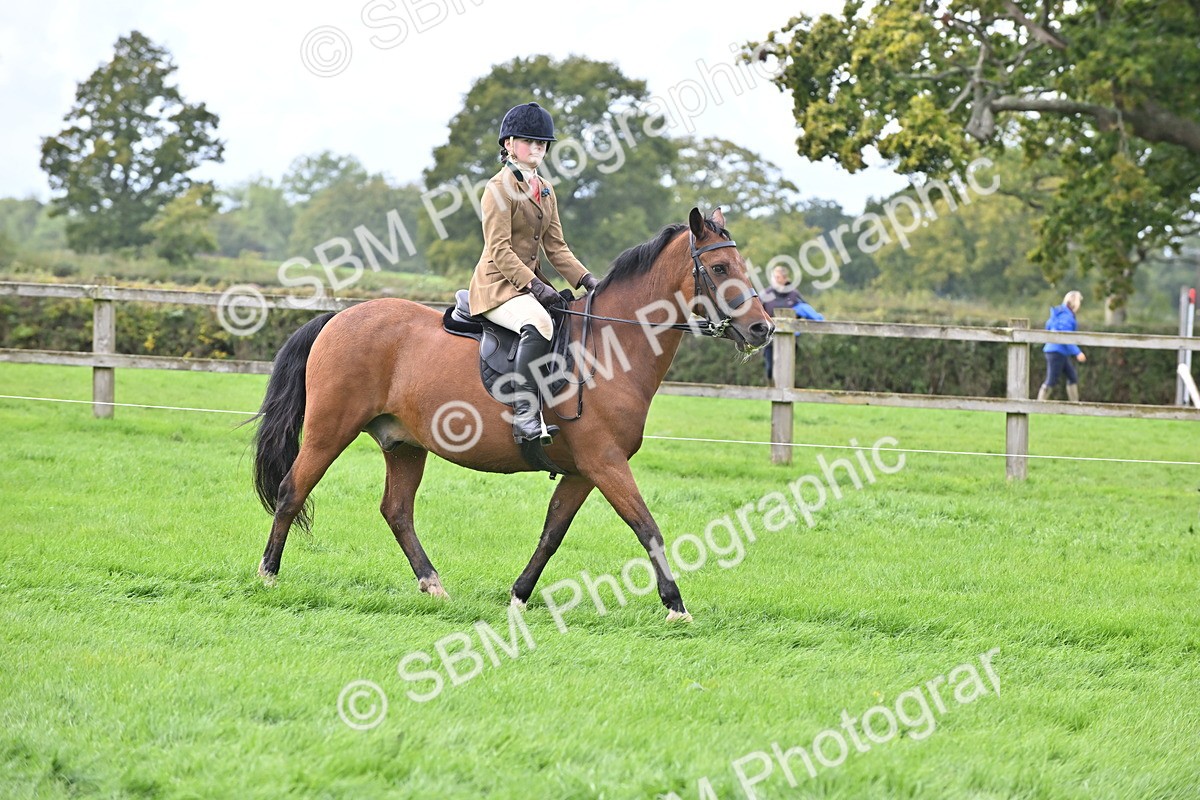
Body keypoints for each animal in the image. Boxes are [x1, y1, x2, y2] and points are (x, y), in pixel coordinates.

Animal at [251, 207, 775, 621]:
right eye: (720, 266)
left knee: (397, 511)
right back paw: (268, 576)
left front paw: (520, 595)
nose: (762, 329)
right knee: (292, 490)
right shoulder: (605, 462)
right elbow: (648, 527)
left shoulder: (583, 470)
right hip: (329, 430)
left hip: (404, 444)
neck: (610, 347)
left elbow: (552, 533)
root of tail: (338, 317)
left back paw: (434, 586)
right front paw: (676, 606)